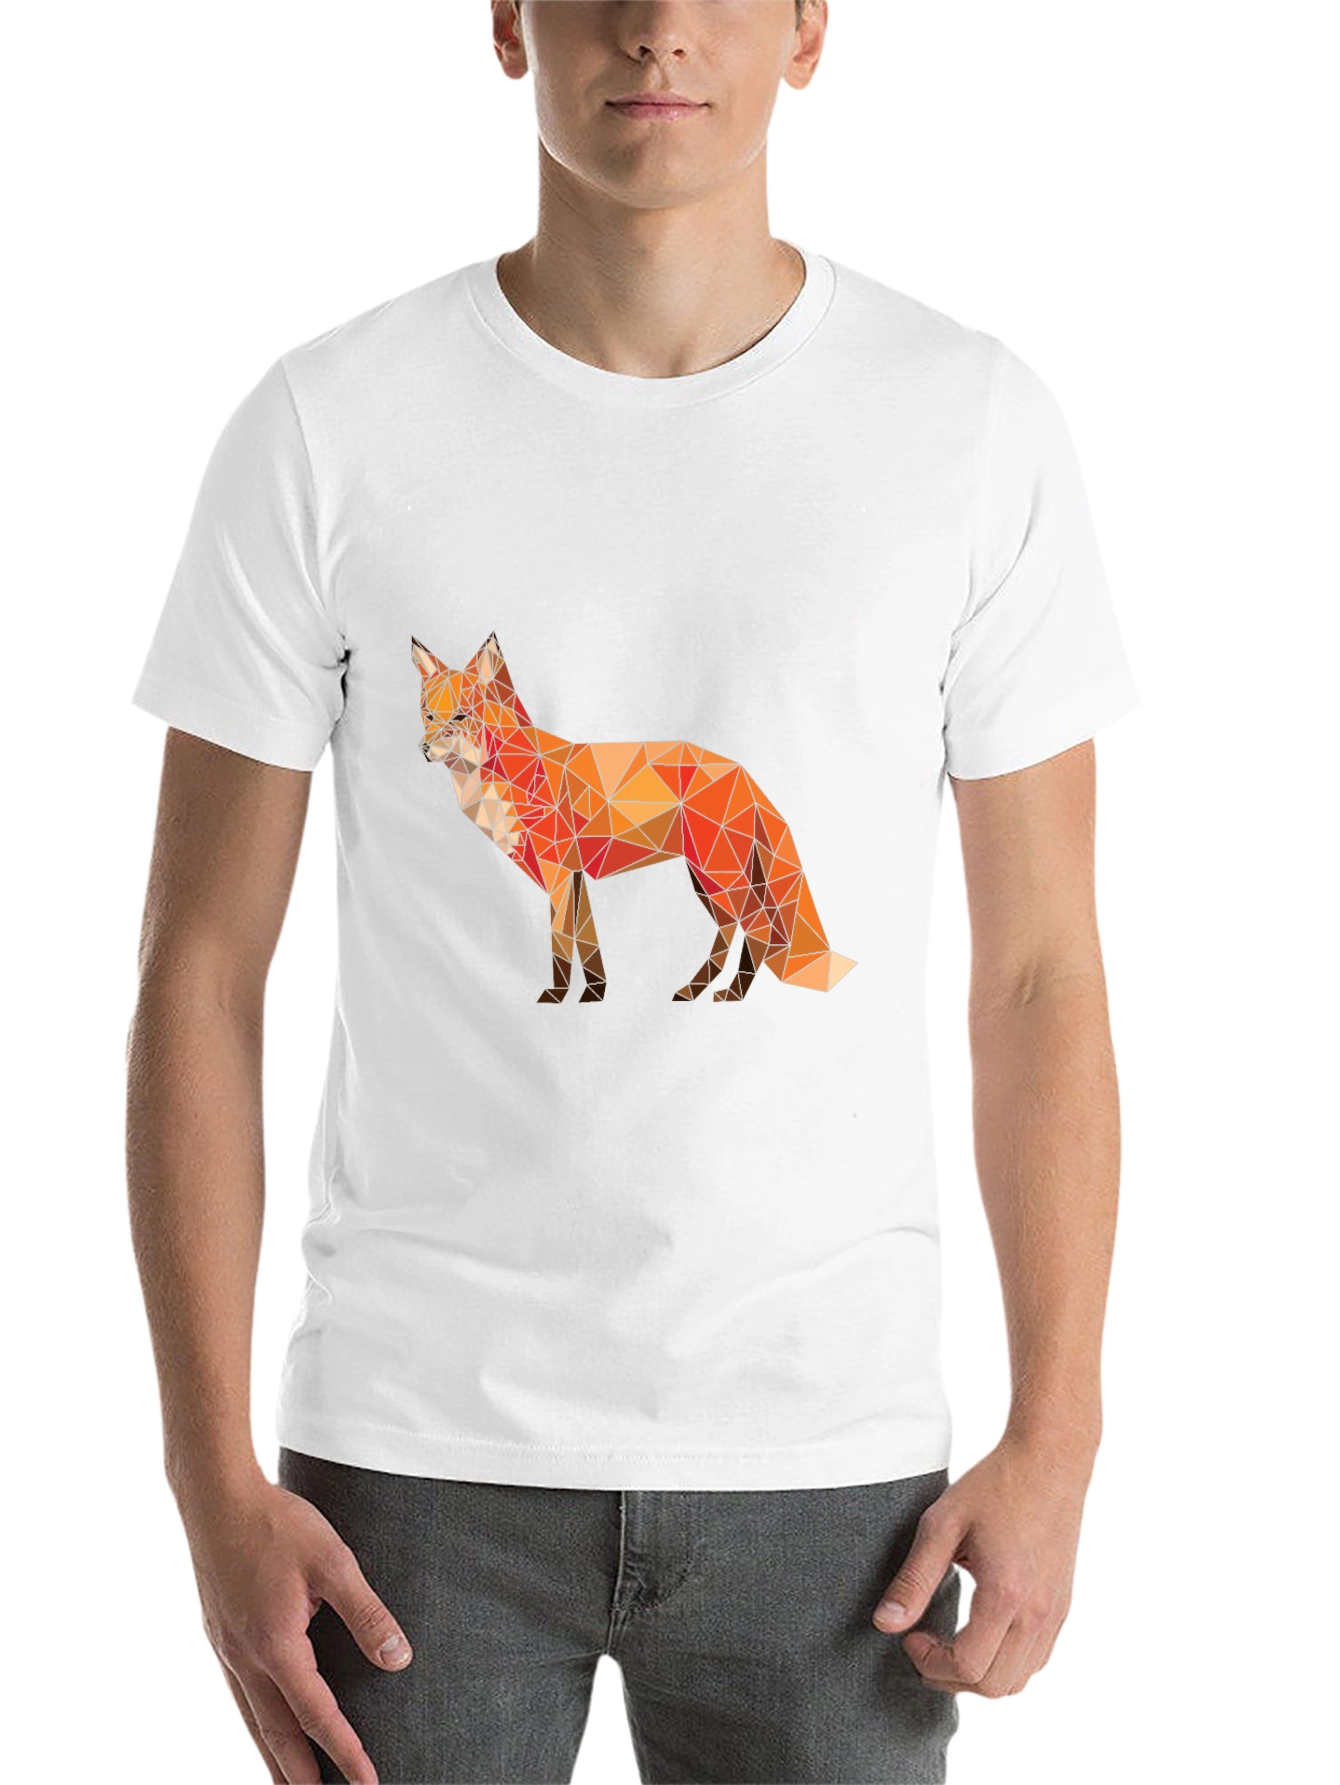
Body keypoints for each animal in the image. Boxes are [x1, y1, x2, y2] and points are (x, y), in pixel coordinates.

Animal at [412, 632, 856, 1004]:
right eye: (428, 715)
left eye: (461, 717)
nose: (422, 749)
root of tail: (742, 772)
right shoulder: (574, 876)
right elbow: (588, 942)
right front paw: (595, 993)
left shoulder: (559, 874)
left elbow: (561, 944)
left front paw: (558, 996)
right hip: (707, 881)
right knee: (730, 932)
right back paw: (694, 989)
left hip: (722, 877)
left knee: (758, 933)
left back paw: (734, 994)